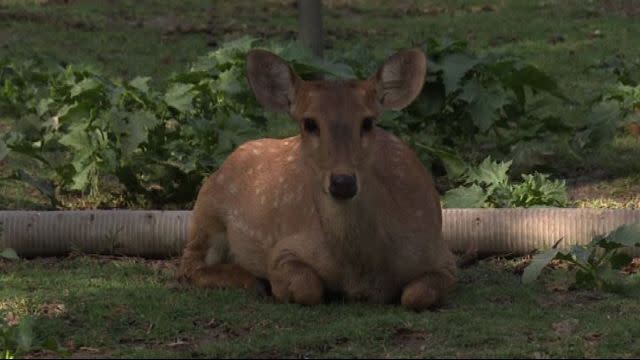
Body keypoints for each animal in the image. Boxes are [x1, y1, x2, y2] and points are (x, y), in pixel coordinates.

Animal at [178, 46, 458, 310]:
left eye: (368, 122)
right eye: (309, 123)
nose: (343, 182)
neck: (361, 271)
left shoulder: (441, 254)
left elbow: (415, 295)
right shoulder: (283, 250)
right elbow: (307, 288)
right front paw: (271, 286)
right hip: (206, 210)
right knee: (190, 262)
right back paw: (251, 280)